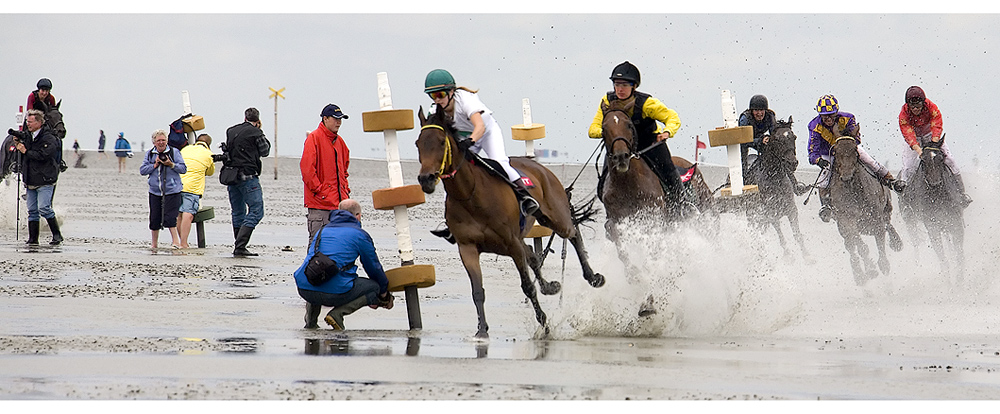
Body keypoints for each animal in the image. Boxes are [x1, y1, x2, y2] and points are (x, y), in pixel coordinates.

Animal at [412, 106, 600, 340]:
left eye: (440, 142)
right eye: (418, 143)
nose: (426, 179)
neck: (470, 193)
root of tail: (540, 167)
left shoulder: (512, 244)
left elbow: (527, 286)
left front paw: (544, 324)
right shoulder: (468, 247)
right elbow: (477, 291)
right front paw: (482, 330)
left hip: (554, 217)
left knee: (572, 233)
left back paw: (593, 277)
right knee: (533, 254)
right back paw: (550, 286)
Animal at [744, 115, 812, 262]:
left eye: (794, 137)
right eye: (776, 139)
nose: (792, 163)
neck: (775, 179)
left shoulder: (792, 210)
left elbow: (797, 234)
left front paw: (807, 256)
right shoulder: (771, 214)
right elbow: (781, 235)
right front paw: (788, 255)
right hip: (753, 216)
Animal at [824, 136, 904, 284]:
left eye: (855, 152)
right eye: (836, 153)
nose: (847, 176)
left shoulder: (876, 215)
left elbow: (880, 237)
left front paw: (883, 265)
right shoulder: (846, 218)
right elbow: (858, 244)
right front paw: (869, 270)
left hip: (886, 206)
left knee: (888, 223)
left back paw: (896, 242)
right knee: (850, 245)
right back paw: (860, 274)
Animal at [896, 141, 964, 280]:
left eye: (941, 158)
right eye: (923, 160)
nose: (935, 184)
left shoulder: (956, 222)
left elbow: (959, 253)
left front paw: (960, 279)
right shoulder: (932, 227)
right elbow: (942, 257)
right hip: (910, 222)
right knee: (916, 244)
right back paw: (918, 267)